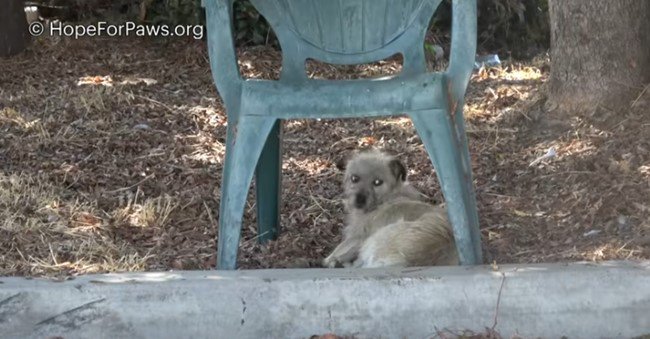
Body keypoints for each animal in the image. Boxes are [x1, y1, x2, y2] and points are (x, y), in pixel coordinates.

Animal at [322, 150, 458, 270]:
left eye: (377, 182)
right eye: (354, 178)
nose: (359, 200)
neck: (388, 196)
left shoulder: (357, 237)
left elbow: (333, 255)